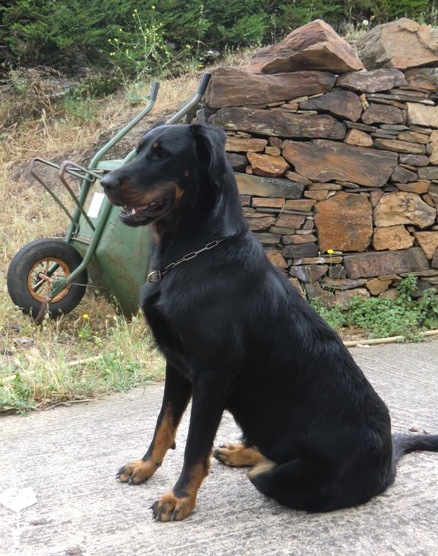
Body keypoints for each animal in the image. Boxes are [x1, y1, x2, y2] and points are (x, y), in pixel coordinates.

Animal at [101, 122, 438, 520]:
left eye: (162, 154)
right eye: (138, 149)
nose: (104, 182)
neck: (191, 254)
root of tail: (389, 459)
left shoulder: (212, 374)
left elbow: (194, 447)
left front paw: (180, 498)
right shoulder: (177, 365)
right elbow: (163, 425)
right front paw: (145, 467)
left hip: (279, 476)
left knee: (267, 466)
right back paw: (239, 451)